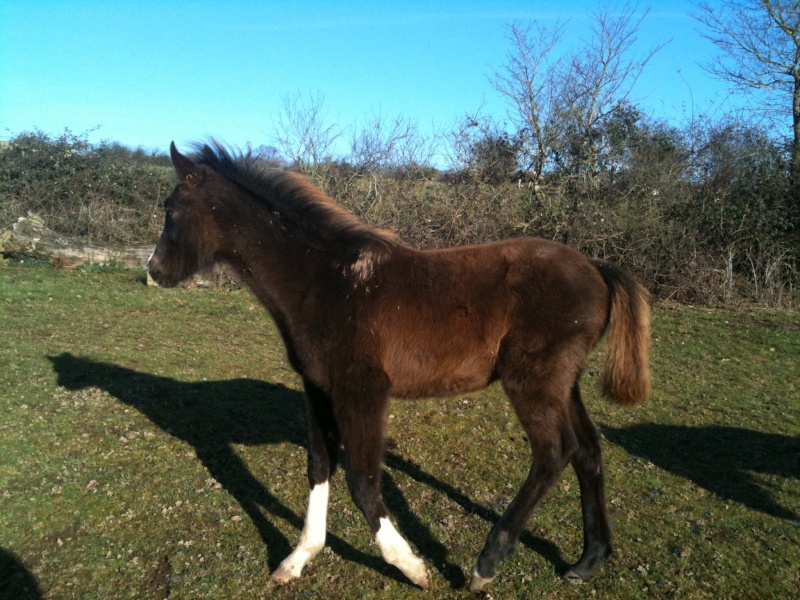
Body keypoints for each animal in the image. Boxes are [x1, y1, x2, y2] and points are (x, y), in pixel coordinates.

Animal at [148, 142, 648, 592]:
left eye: (172, 210)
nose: (154, 271)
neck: (323, 281)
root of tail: (597, 267)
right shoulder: (318, 388)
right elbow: (319, 467)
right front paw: (297, 559)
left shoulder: (363, 390)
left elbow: (363, 481)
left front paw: (410, 566)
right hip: (565, 383)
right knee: (588, 451)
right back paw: (587, 561)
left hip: (533, 382)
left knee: (553, 454)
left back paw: (486, 564)